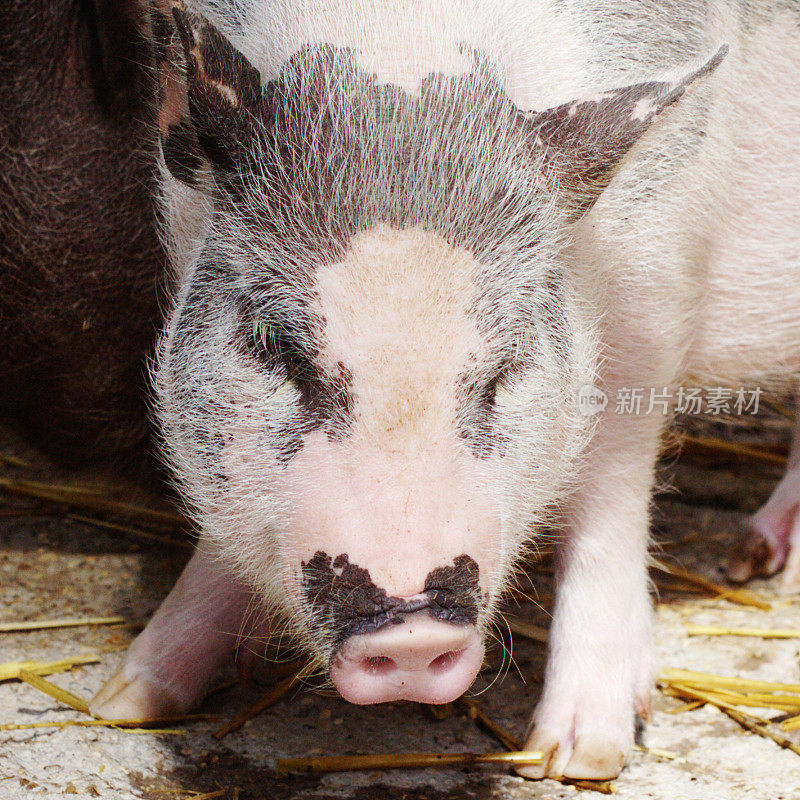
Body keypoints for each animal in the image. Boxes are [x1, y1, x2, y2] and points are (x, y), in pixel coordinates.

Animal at [6, 0, 800, 780]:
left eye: (505, 368)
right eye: (275, 347)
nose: (412, 629)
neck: (404, 49)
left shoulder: (661, 268)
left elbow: (612, 487)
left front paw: (578, 759)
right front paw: (128, 700)